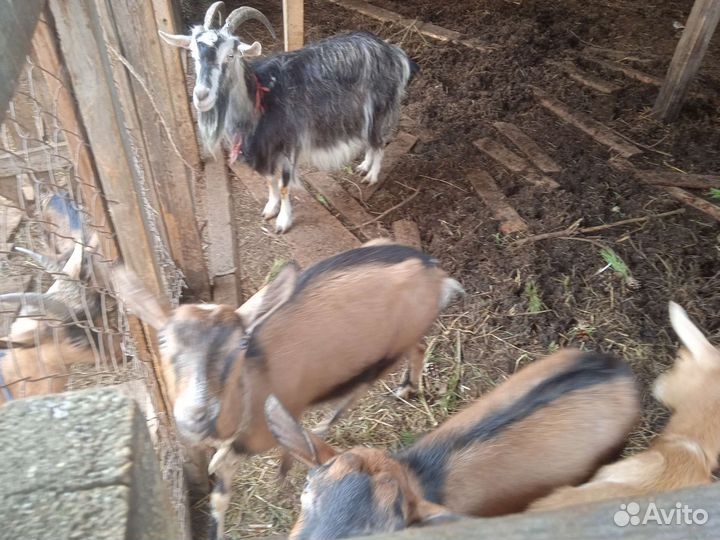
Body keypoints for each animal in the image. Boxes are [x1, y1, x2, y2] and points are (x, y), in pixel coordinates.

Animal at [113, 241, 463, 539]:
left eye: (241, 343)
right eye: (162, 340)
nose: (196, 416)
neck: (251, 385)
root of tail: (432, 268)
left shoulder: (271, 421)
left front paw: (284, 471)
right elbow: (219, 490)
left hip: (389, 349)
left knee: (367, 382)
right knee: (418, 348)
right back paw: (402, 389)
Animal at [159, 2, 418, 233]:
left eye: (231, 55)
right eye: (193, 54)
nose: (201, 96)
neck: (261, 100)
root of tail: (393, 52)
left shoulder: (287, 144)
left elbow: (284, 186)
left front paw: (283, 222)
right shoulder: (264, 150)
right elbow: (269, 181)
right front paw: (269, 208)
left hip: (381, 107)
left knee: (380, 141)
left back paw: (372, 176)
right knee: (371, 141)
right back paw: (364, 166)